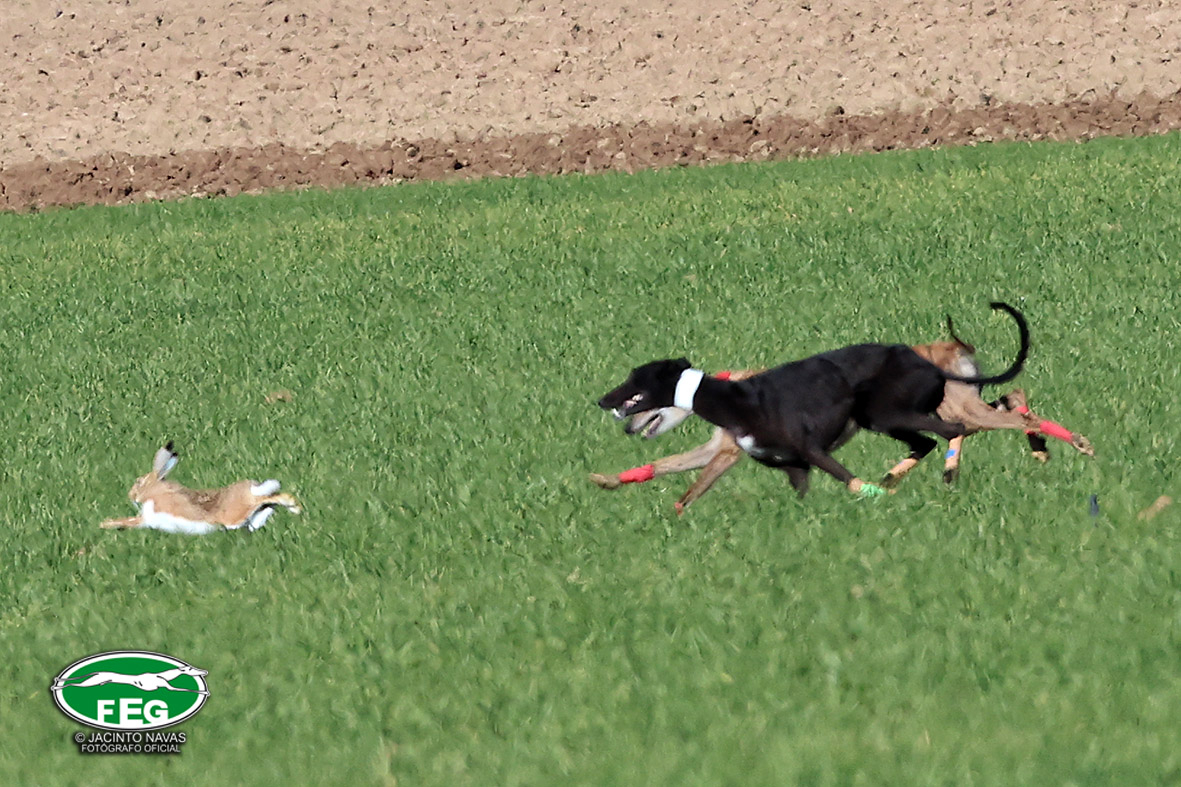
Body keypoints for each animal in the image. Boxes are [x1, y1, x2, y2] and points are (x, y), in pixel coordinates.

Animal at [100, 442, 301, 534]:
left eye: (139, 482)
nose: (131, 495)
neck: (155, 490)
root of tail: (250, 488)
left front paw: (107, 524)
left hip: (234, 515)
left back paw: (295, 507)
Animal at [596, 302, 1030, 502]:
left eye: (640, 395)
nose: (627, 427)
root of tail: (956, 348)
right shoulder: (719, 449)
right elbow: (664, 465)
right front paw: (606, 480)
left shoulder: (727, 454)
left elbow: (692, 489)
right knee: (1012, 404)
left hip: (950, 411)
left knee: (1000, 421)